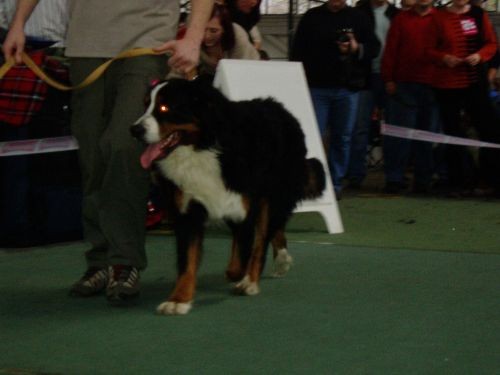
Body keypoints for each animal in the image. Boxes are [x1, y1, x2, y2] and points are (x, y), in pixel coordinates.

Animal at [130, 78, 324, 316]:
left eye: (165, 107)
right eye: (146, 104)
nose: (135, 129)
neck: (202, 149)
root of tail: (279, 108)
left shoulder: (243, 209)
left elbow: (248, 253)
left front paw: (246, 280)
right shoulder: (188, 212)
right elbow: (188, 262)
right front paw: (179, 299)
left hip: (273, 194)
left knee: (267, 231)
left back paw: (263, 271)